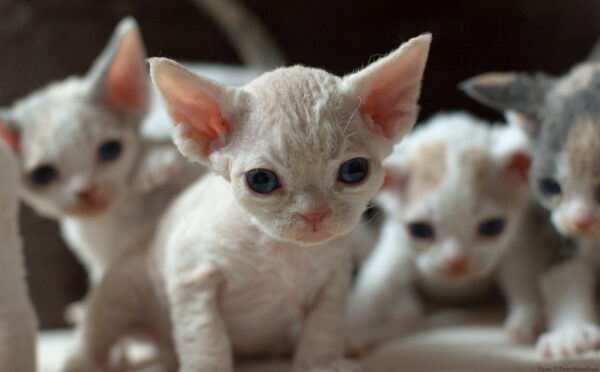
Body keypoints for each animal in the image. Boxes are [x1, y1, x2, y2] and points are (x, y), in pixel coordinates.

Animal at [62, 35, 432, 372]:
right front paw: (208, 366)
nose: (314, 212)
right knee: (94, 332)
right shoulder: (191, 276)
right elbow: (206, 338)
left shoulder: (334, 280)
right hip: (122, 290)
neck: (282, 251)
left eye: (354, 170)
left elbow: (323, 329)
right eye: (261, 180)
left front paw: (321, 364)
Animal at [344, 112, 548, 348]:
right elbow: (375, 286)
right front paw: (348, 333)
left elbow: (522, 276)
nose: (456, 261)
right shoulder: (398, 246)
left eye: (491, 226)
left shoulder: (518, 238)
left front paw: (527, 321)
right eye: (420, 230)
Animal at [462, 50, 600, 358]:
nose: (581, 220)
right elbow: (562, 270)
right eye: (551, 187)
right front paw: (572, 335)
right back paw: (526, 322)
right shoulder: (554, 227)